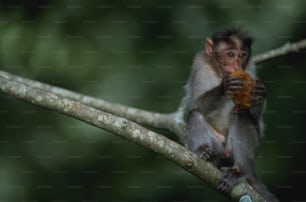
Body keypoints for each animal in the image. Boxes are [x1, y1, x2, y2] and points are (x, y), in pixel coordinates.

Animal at [185, 28, 278, 200]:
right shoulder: (200, 64)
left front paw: (259, 94)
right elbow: (197, 103)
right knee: (194, 115)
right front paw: (225, 87)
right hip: (218, 146)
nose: (236, 65)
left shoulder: (250, 69)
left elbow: (255, 119)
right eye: (230, 54)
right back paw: (206, 154)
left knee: (242, 115)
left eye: (242, 55)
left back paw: (240, 171)